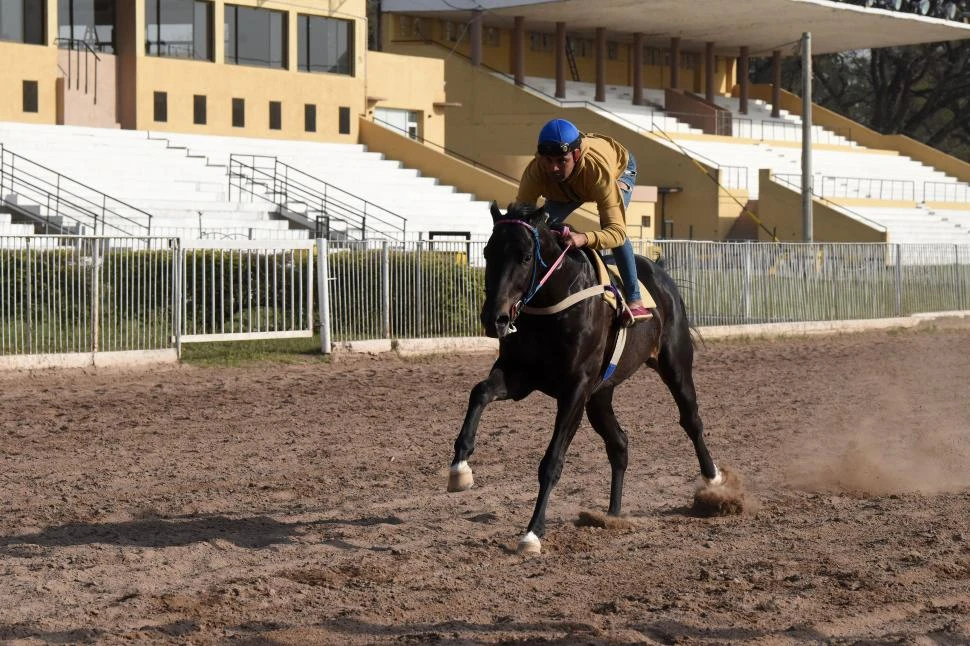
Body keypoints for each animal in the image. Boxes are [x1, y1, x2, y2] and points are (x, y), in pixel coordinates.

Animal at [446, 204, 740, 556]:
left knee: (691, 420)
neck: (552, 307)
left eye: (526, 257)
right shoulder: (520, 377)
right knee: (620, 443)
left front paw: (532, 533)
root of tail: (661, 273)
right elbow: (479, 392)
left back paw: (713, 482)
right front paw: (460, 469)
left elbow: (552, 461)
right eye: (488, 252)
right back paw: (611, 514)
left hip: (675, 365)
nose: (495, 319)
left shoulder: (575, 389)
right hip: (600, 396)